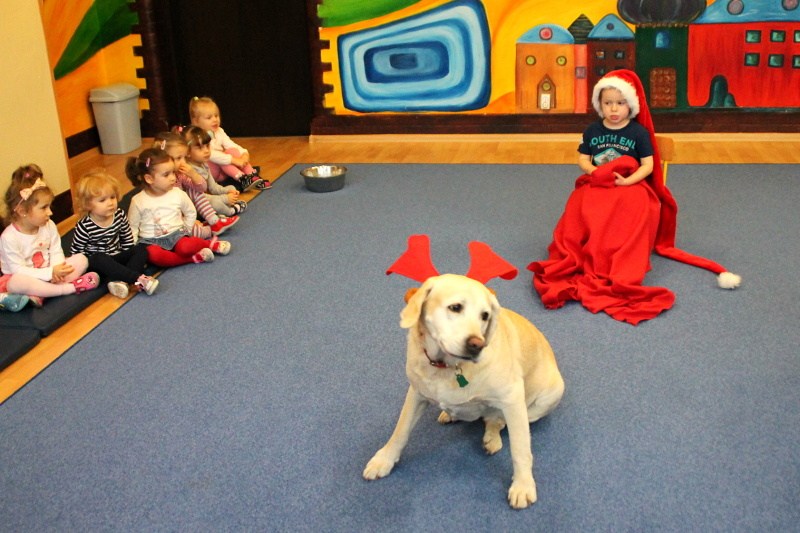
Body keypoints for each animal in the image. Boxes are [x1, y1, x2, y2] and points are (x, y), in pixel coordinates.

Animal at [363, 273, 564, 509]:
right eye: (455, 307)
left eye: (485, 315)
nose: (477, 345)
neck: (447, 367)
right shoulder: (416, 393)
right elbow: (400, 430)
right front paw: (384, 459)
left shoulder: (513, 398)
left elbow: (520, 449)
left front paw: (523, 485)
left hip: (549, 395)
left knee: (497, 420)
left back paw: (491, 436)